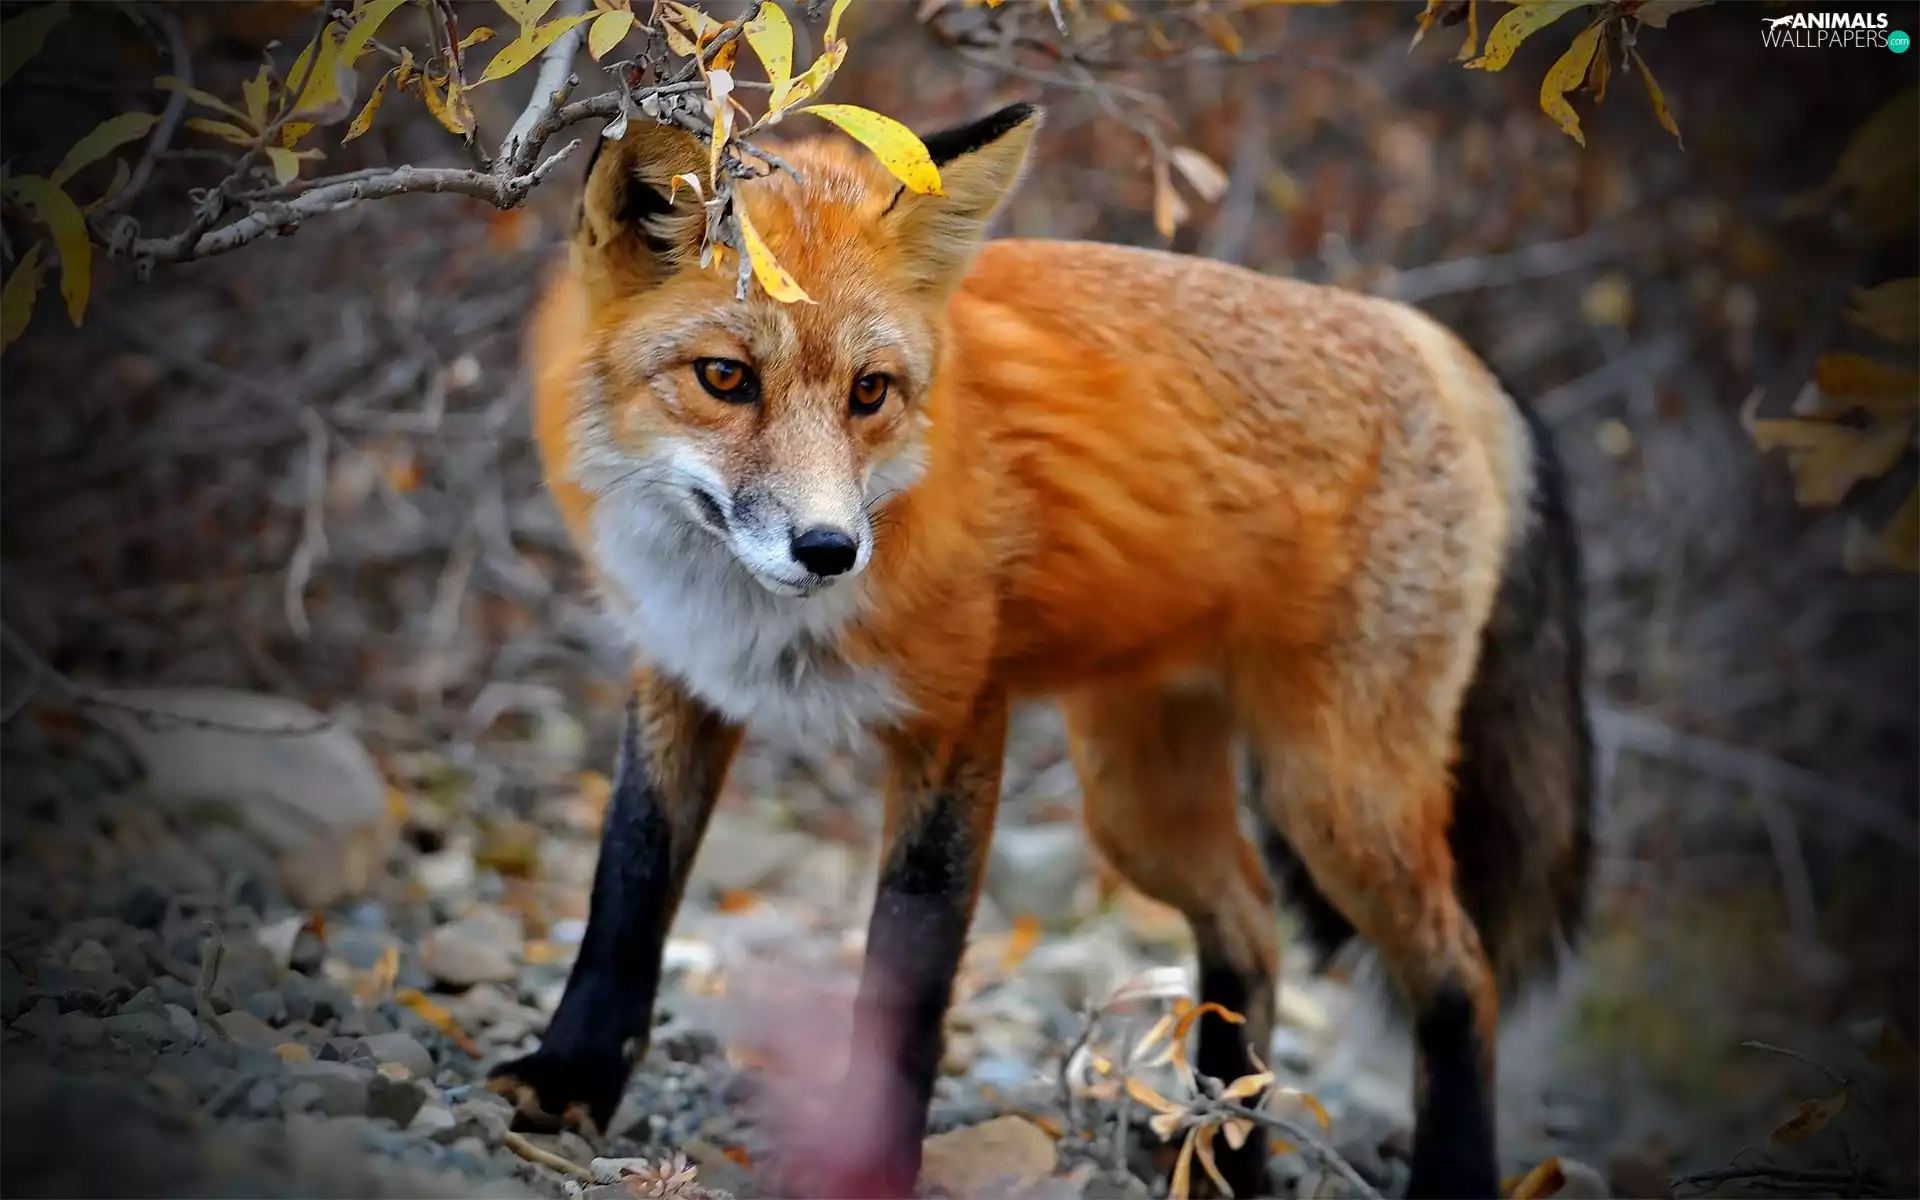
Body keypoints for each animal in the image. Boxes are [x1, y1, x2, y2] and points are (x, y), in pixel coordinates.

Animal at [486, 100, 1595, 1200]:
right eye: (726, 377)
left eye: (870, 392)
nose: (831, 550)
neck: (742, 614)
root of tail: (1429, 337)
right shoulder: (682, 677)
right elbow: (628, 889)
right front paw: (568, 1081)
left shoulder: (959, 716)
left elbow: (908, 975)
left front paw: (875, 1164)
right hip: (1140, 807)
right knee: (1250, 923)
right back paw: (1228, 1158)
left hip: (1332, 798)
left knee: (1460, 974)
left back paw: (1440, 1173)